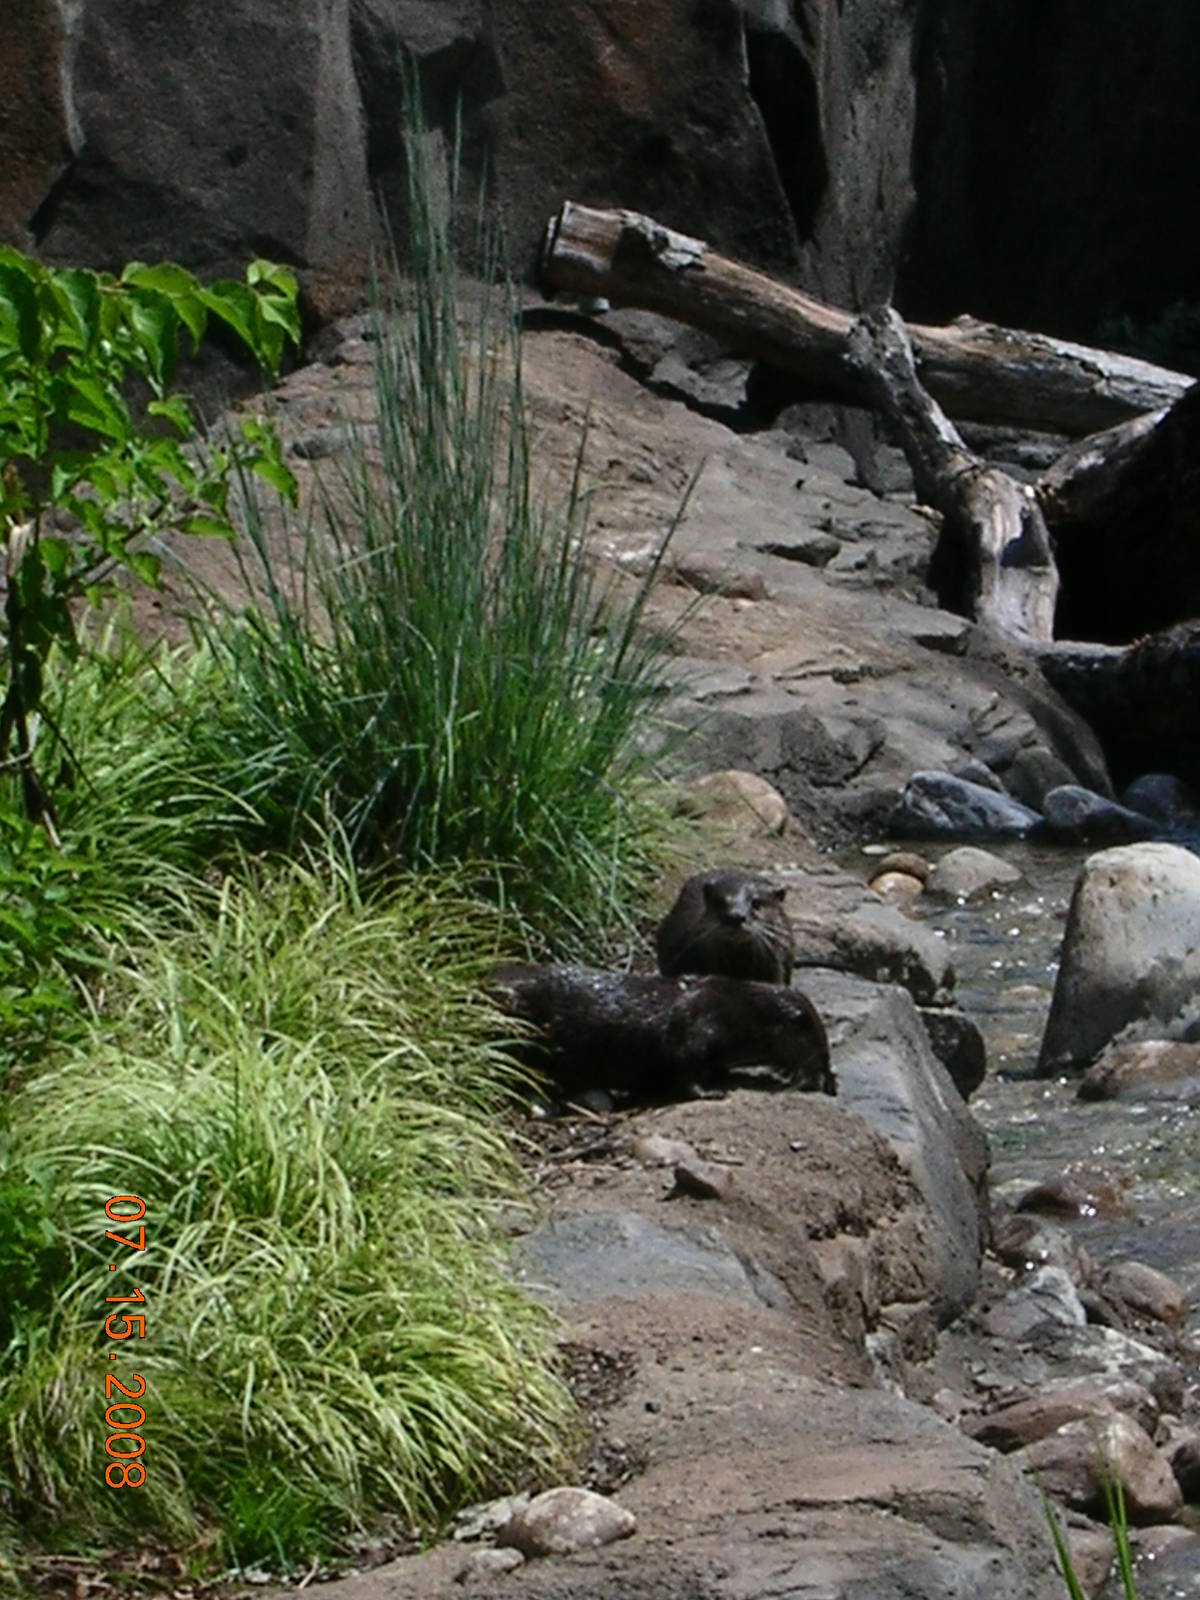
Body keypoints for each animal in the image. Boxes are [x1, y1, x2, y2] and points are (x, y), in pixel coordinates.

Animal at [489, 962, 832, 1103]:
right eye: (819, 1045)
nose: (830, 1079)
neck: (736, 1012)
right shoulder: (694, 1026)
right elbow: (685, 1069)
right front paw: (711, 1092)